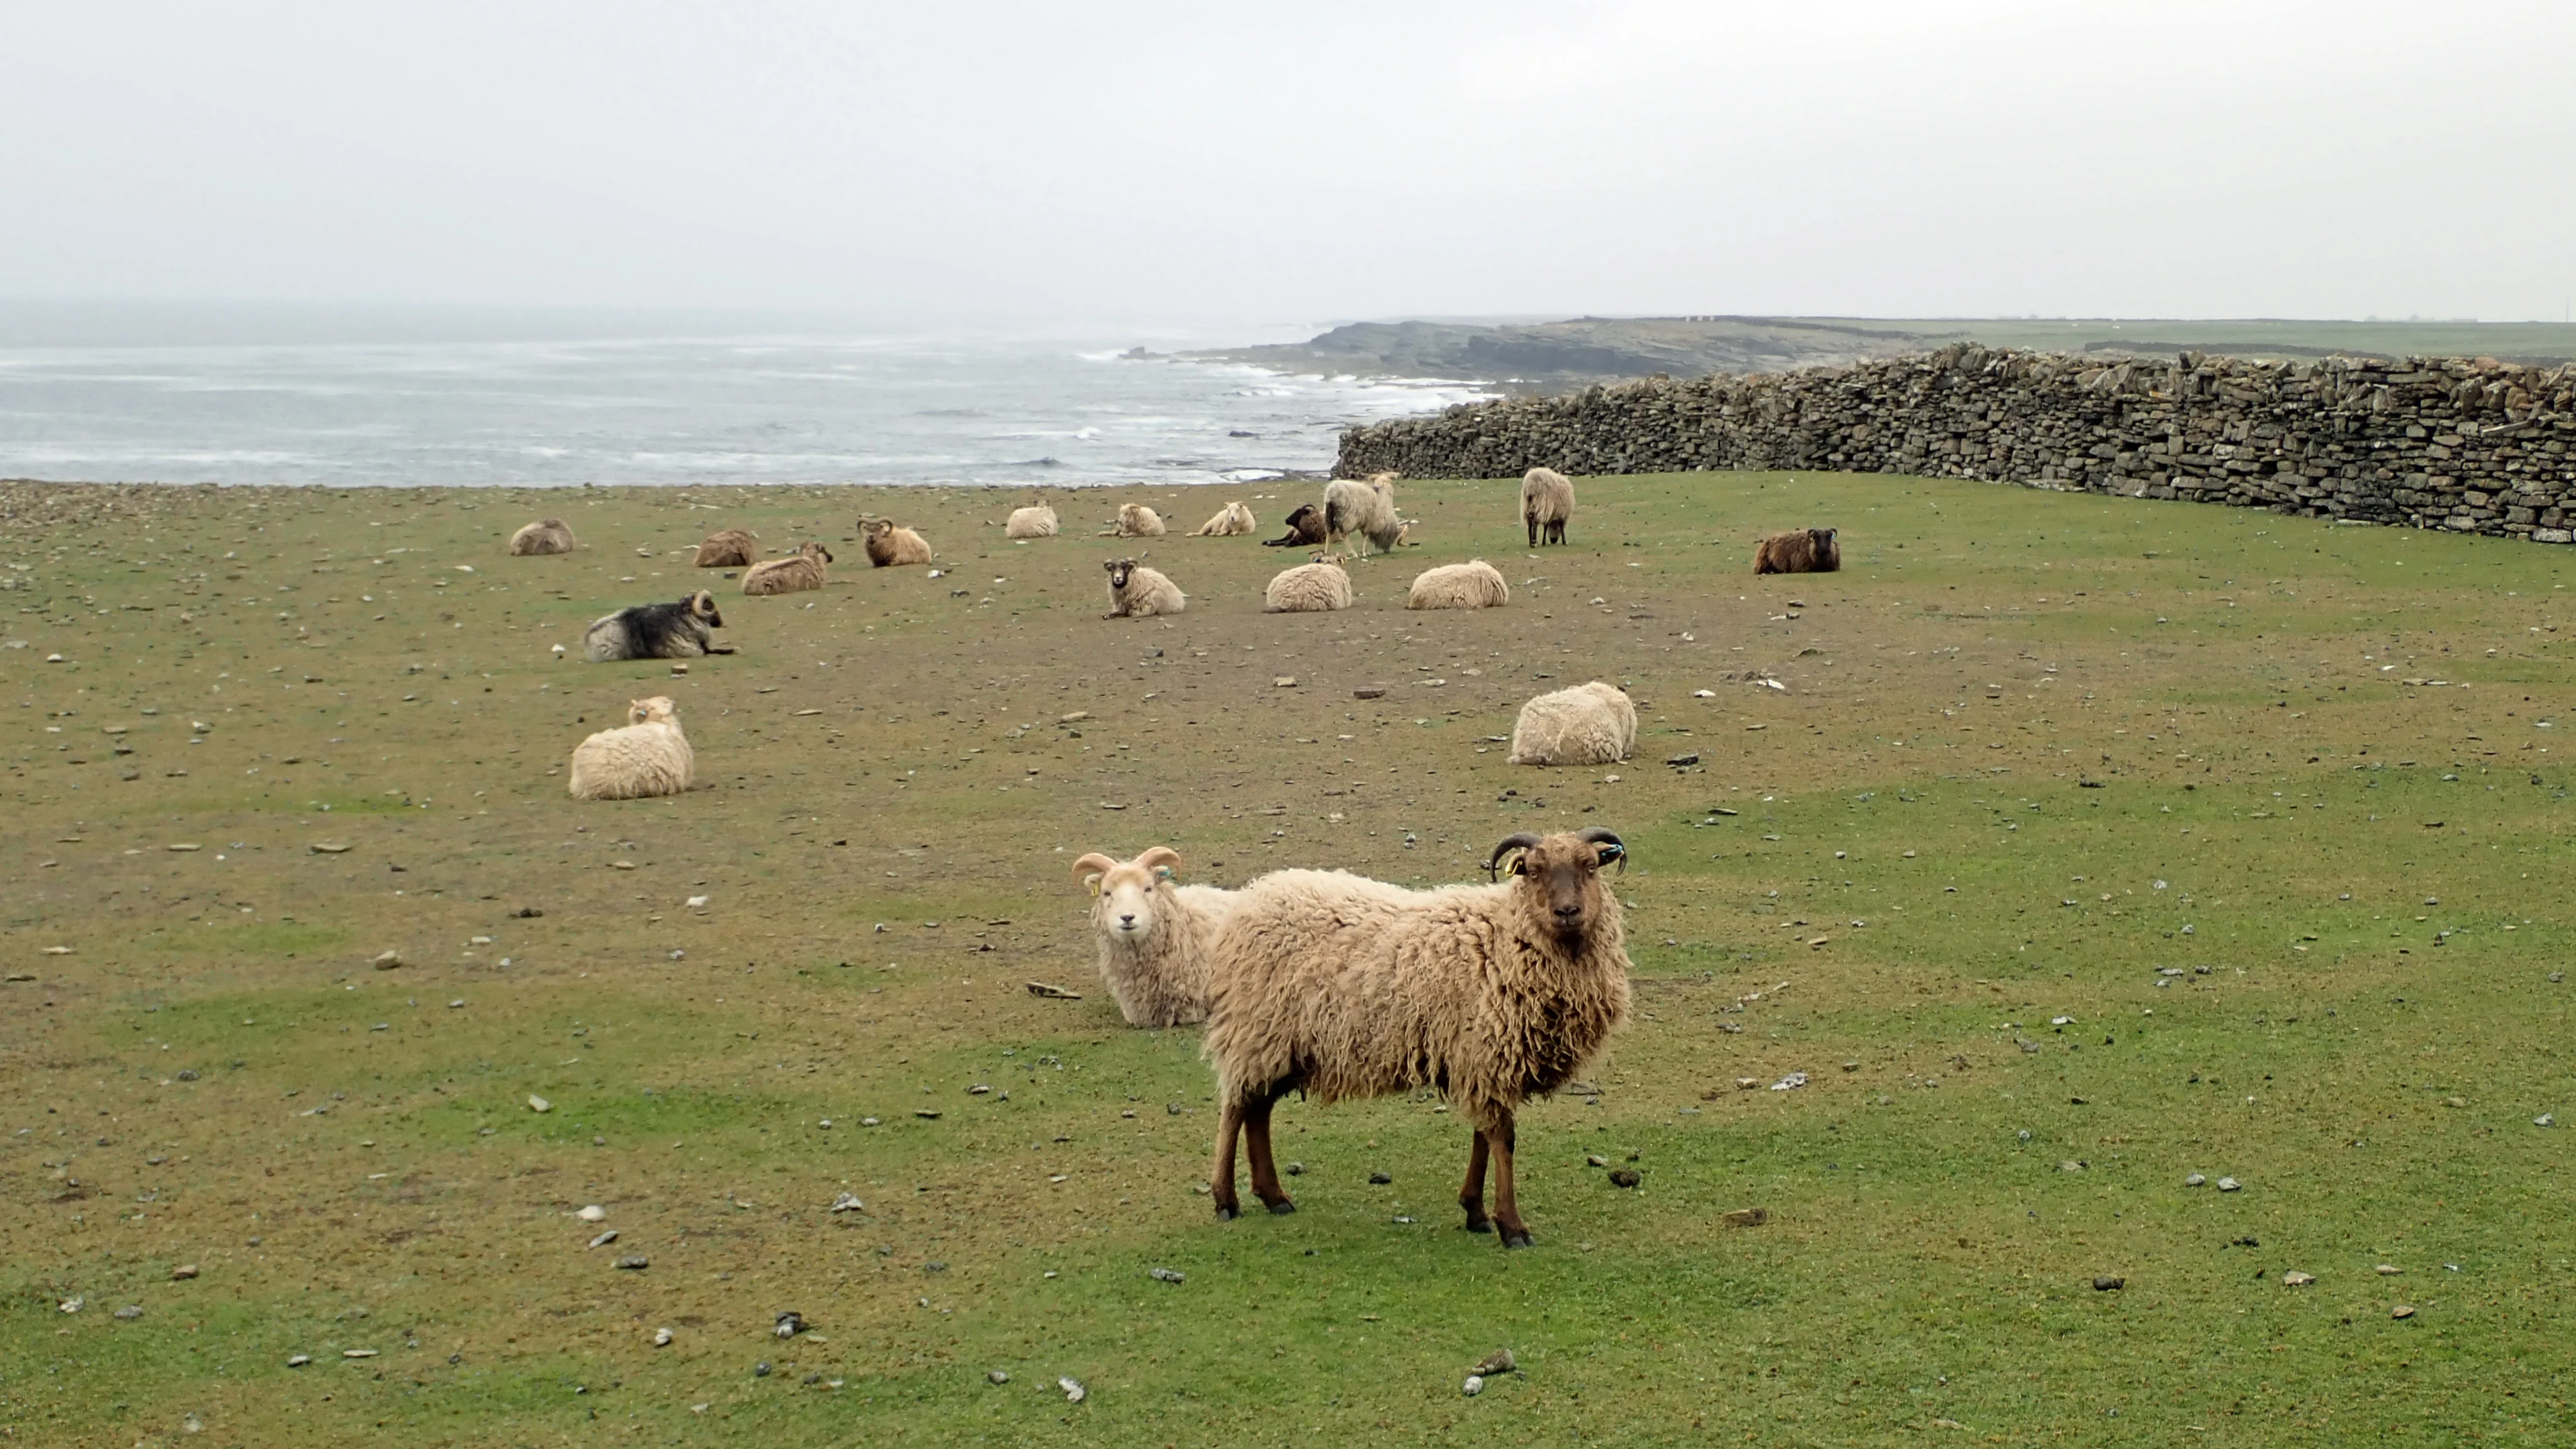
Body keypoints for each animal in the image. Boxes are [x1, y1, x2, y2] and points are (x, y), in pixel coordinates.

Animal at [583, 590, 732, 661]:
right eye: (709, 605)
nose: (721, 622)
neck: (684, 618)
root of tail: (588, 638)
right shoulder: (687, 650)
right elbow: (706, 652)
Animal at [1199, 829, 1633, 1245]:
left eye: (1590, 866)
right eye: (1534, 871)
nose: (1568, 912)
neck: (1504, 937)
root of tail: (1252, 898)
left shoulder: (1477, 1060)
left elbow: (1483, 1135)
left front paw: (1475, 1212)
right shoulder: (1485, 1055)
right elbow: (1503, 1138)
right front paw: (1512, 1227)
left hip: (1283, 1045)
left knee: (1258, 1111)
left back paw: (1274, 1197)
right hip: (1256, 1032)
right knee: (1236, 1109)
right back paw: (1225, 1200)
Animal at [1324, 472, 1402, 556]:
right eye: (1393, 535)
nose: (1387, 551)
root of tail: (1332, 493)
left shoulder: (1366, 522)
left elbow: (1365, 537)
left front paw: (1366, 552)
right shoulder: (1370, 523)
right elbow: (1366, 537)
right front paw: (1364, 552)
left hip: (1329, 516)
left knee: (1329, 533)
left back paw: (1326, 552)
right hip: (1348, 518)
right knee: (1345, 535)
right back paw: (1353, 553)